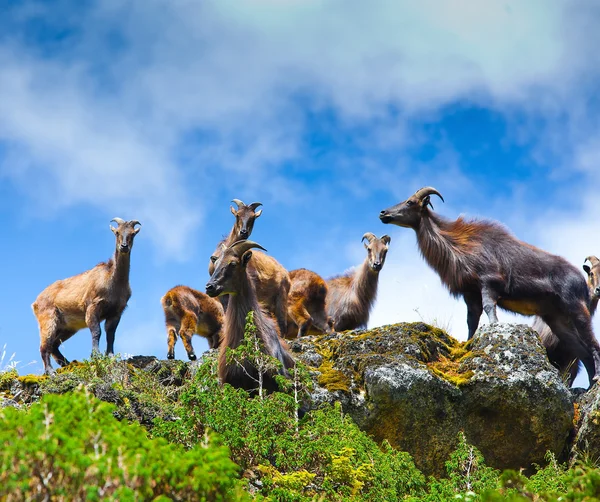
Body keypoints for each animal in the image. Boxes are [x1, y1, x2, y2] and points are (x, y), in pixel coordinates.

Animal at [33, 219, 141, 372]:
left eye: (132, 233)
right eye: (117, 232)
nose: (124, 246)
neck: (113, 281)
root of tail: (35, 302)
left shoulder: (116, 311)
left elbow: (111, 334)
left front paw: (110, 355)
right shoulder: (92, 305)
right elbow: (96, 331)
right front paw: (96, 355)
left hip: (67, 327)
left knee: (54, 345)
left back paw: (67, 363)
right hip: (48, 318)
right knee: (44, 345)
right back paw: (50, 371)